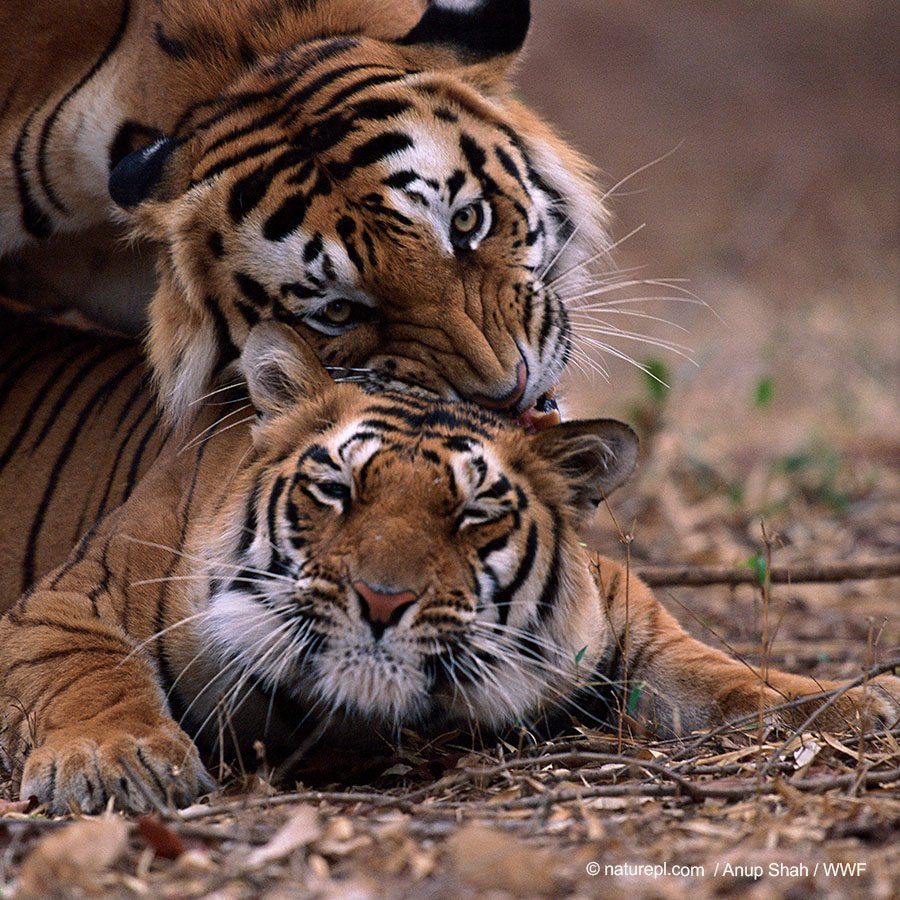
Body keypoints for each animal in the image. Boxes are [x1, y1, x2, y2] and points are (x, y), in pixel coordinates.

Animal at [1, 306, 897, 815]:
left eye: (472, 512)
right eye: (337, 489)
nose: (380, 600)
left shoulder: (630, 623)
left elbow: (727, 675)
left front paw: (855, 702)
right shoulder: (74, 599)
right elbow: (90, 675)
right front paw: (116, 766)